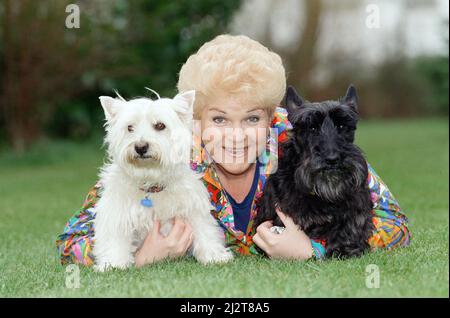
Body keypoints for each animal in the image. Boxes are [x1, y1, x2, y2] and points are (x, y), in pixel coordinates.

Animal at [91, 89, 232, 270]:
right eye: (129, 127)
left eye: (160, 126)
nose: (140, 147)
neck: (151, 182)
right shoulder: (117, 213)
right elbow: (114, 240)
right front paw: (113, 264)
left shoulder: (193, 209)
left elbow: (205, 232)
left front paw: (214, 256)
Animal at [255, 85, 374, 258]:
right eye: (312, 128)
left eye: (342, 126)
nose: (332, 159)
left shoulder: (356, 209)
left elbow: (349, 228)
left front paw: (345, 249)